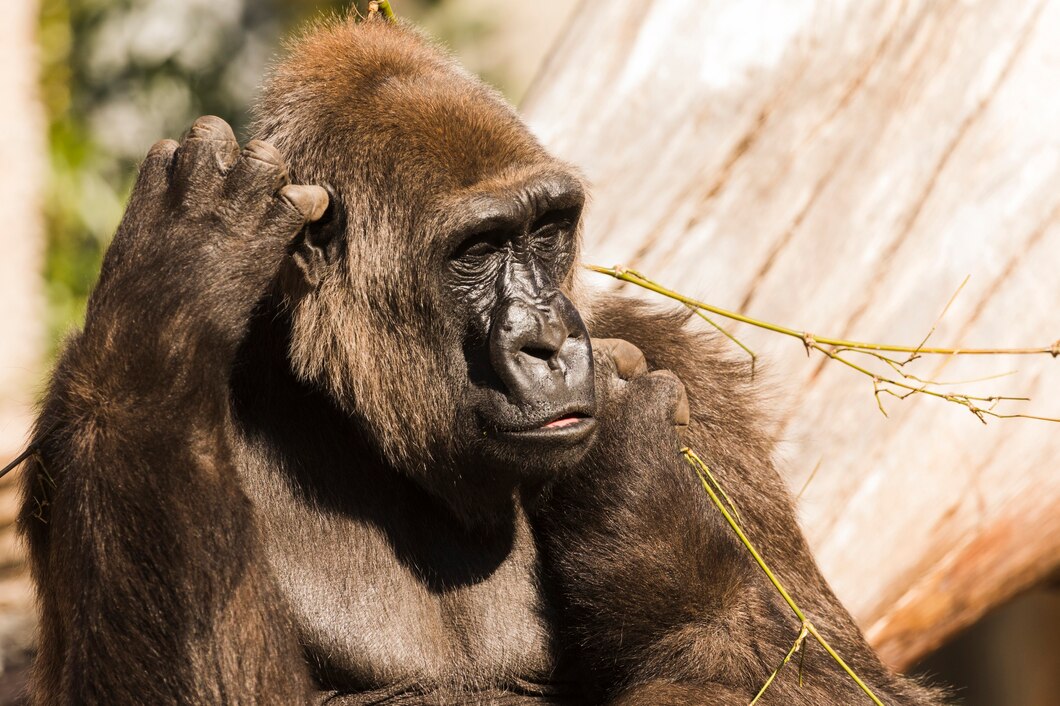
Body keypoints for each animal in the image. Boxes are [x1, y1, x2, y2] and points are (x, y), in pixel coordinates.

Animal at [19, 13, 946, 705]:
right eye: (478, 249)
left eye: (547, 231)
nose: (551, 340)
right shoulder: (77, 416)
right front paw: (175, 287)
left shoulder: (684, 375)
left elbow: (826, 679)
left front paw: (654, 520)